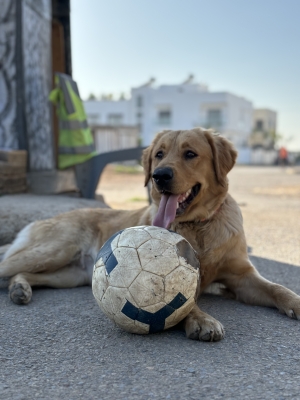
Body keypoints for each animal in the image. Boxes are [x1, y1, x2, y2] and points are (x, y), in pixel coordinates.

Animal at [0, 129, 300, 340]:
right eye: (159, 154)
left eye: (190, 154)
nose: (159, 176)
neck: (198, 226)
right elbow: (186, 301)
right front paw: (201, 319)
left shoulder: (242, 277)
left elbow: (276, 288)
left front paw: (295, 301)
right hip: (52, 251)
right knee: (8, 267)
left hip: (70, 275)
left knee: (25, 275)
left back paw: (19, 288)